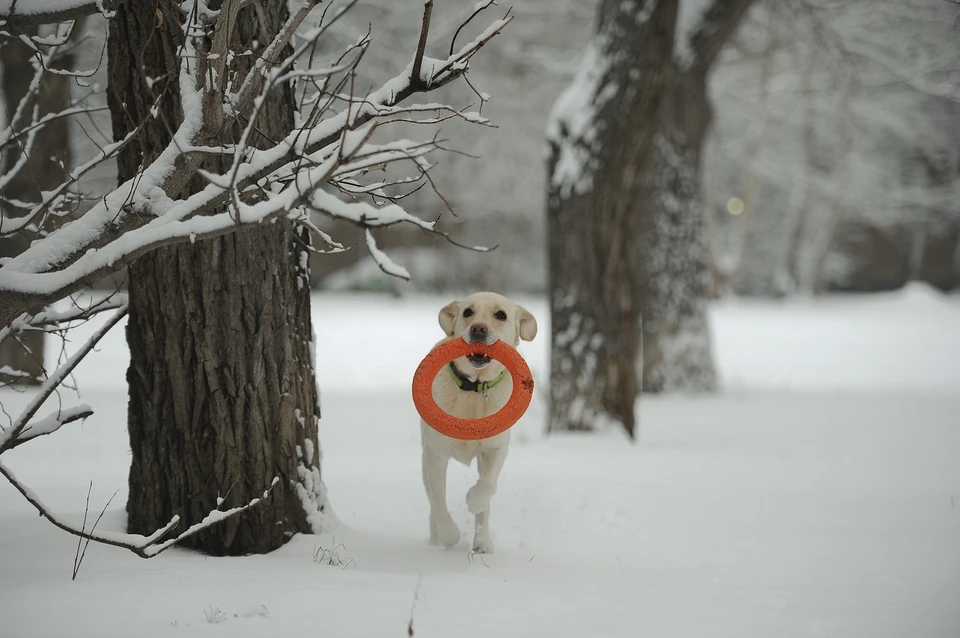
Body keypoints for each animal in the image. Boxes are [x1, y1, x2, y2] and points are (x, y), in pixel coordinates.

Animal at [420, 292, 540, 552]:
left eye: (501, 315)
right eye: (468, 312)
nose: (478, 328)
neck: (474, 389)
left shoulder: (496, 449)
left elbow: (487, 485)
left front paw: (474, 501)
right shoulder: (435, 454)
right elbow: (438, 499)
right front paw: (449, 535)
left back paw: (482, 542)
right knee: (432, 502)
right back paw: (436, 539)